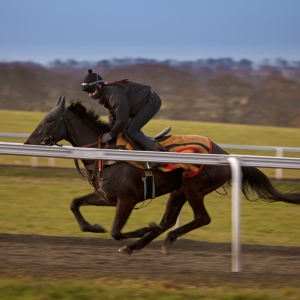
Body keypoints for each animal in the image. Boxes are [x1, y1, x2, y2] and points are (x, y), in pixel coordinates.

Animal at [25, 97, 300, 254]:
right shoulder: (107, 197)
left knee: (201, 218)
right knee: (168, 221)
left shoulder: (127, 199)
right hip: (178, 191)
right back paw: (137, 246)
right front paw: (93, 226)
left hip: (193, 188)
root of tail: (225, 154)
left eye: (48, 120)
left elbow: (116, 230)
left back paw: (164, 239)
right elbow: (75, 204)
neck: (106, 153)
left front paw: (140, 229)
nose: (28, 143)